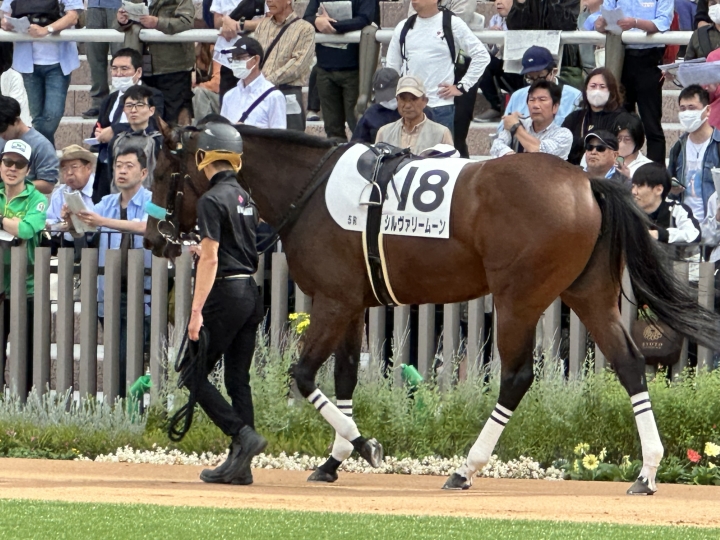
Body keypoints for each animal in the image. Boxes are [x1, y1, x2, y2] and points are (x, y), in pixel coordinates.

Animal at [145, 123, 720, 494]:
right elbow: (347, 376)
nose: (155, 237)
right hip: (589, 293)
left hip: (518, 300)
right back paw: (647, 472)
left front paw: (364, 446)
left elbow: (305, 375)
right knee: (629, 365)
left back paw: (467, 468)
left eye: (161, 171)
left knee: (516, 378)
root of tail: (585, 182)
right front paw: (334, 460)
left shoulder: (331, 302)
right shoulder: (351, 303)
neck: (309, 187)